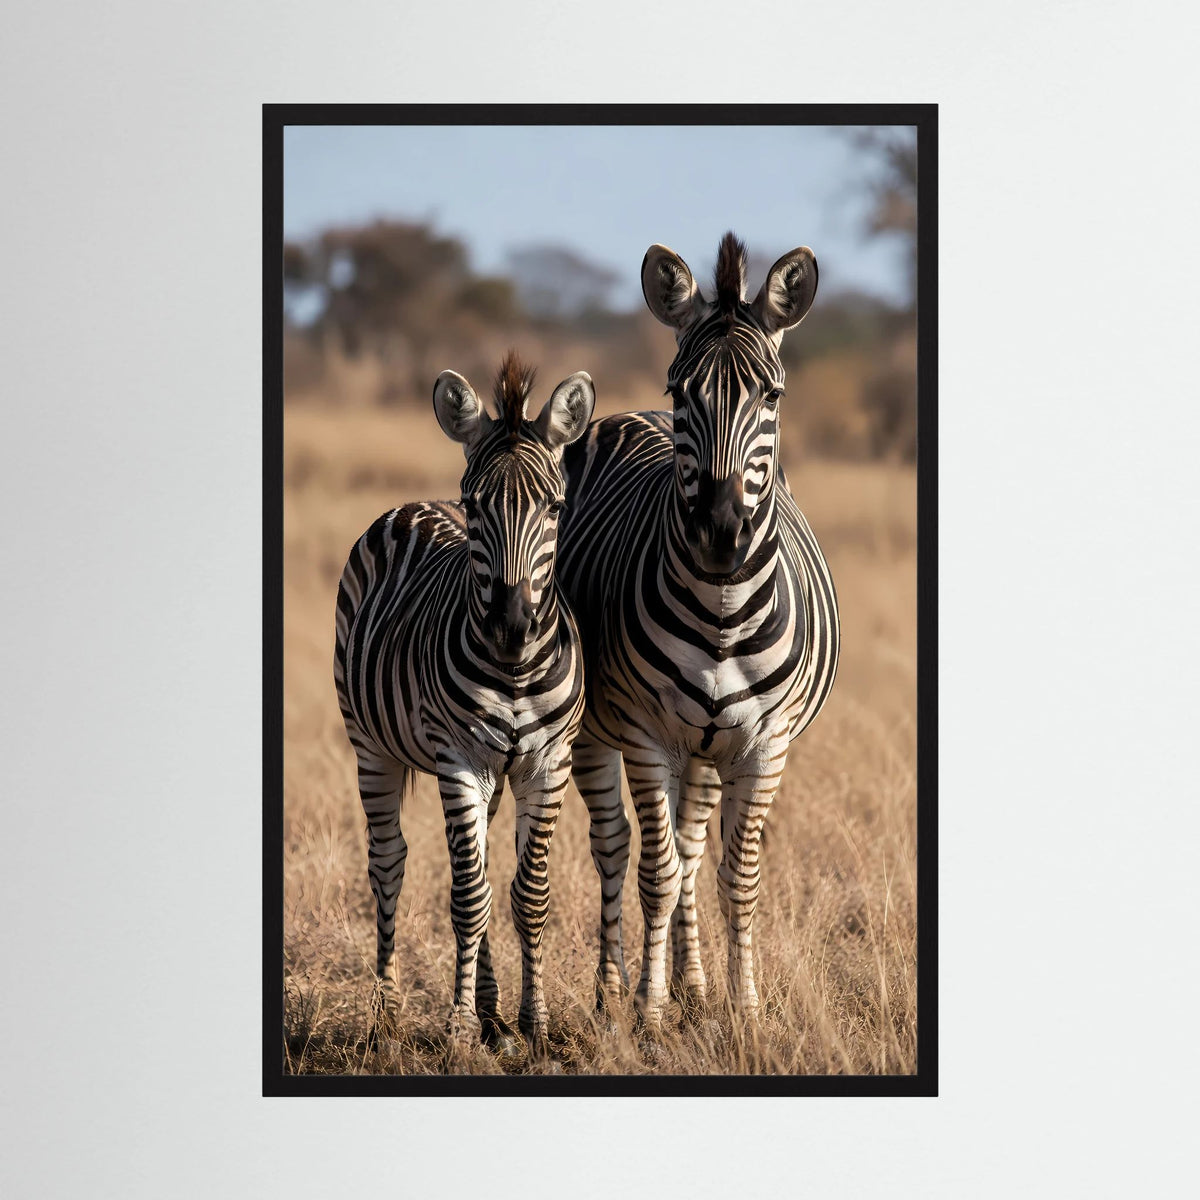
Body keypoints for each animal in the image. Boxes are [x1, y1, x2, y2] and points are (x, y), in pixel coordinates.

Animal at [334, 351, 595, 1049]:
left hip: (495, 775)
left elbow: (526, 894)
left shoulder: (548, 764)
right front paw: (454, 1025)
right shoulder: (458, 761)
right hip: (370, 745)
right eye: (477, 507)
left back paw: (492, 1011)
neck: (515, 672)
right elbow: (468, 897)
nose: (512, 624)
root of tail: (415, 505)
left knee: (479, 865)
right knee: (388, 863)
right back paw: (386, 1012)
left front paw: (531, 1023)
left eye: (555, 507)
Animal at [557, 233, 840, 1030]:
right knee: (617, 846)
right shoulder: (645, 733)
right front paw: (648, 1016)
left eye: (772, 396)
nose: (720, 533)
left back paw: (695, 984)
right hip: (600, 732)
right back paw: (614, 990)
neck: (721, 609)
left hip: (709, 748)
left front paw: (742, 1008)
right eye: (681, 391)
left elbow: (734, 875)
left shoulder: (765, 744)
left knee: (687, 844)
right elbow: (654, 871)